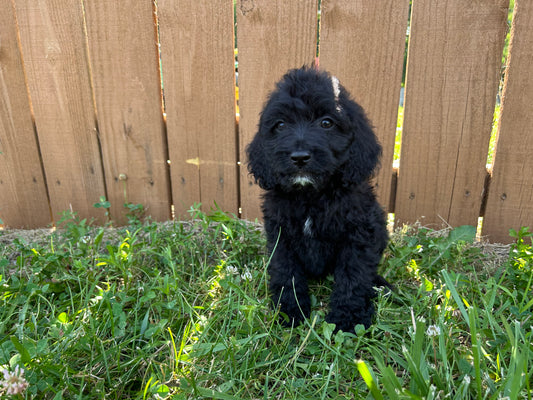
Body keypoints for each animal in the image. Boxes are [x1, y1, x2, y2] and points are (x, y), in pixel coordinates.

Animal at [247, 67, 388, 332]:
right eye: (280, 125)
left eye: (326, 123)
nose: (300, 157)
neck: (311, 196)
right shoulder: (281, 236)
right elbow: (286, 272)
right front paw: (289, 310)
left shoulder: (358, 236)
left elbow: (353, 275)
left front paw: (348, 318)